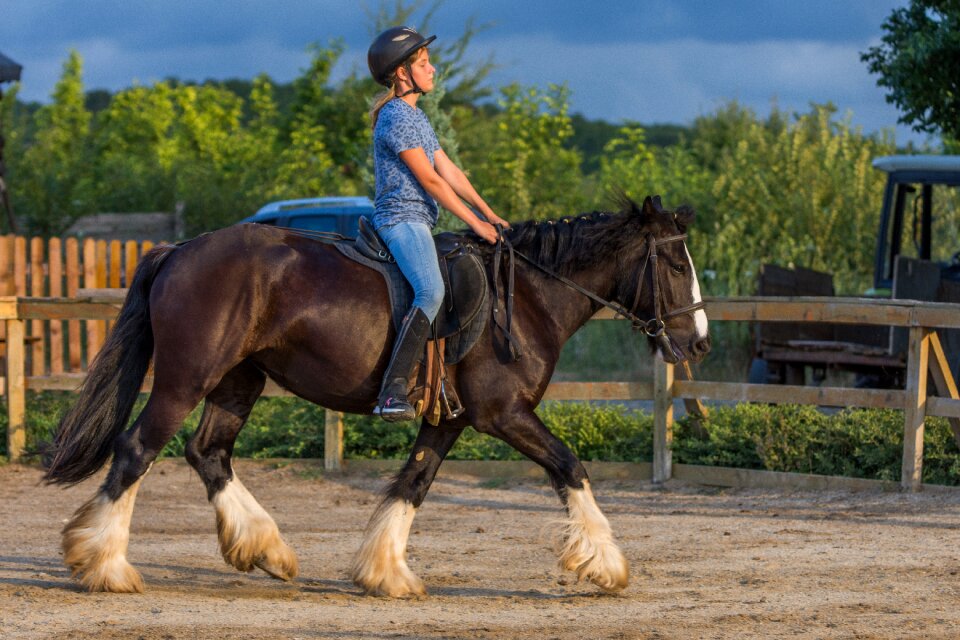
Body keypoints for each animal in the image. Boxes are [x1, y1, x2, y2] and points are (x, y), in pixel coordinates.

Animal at [41, 194, 708, 596]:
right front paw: (606, 564)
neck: (528, 298)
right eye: (677, 266)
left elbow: (412, 484)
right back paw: (105, 565)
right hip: (187, 379)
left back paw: (267, 549)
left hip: (238, 381)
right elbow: (571, 467)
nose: (697, 342)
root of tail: (179, 249)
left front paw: (386, 573)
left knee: (209, 454)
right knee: (136, 451)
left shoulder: (450, 420)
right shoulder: (505, 414)